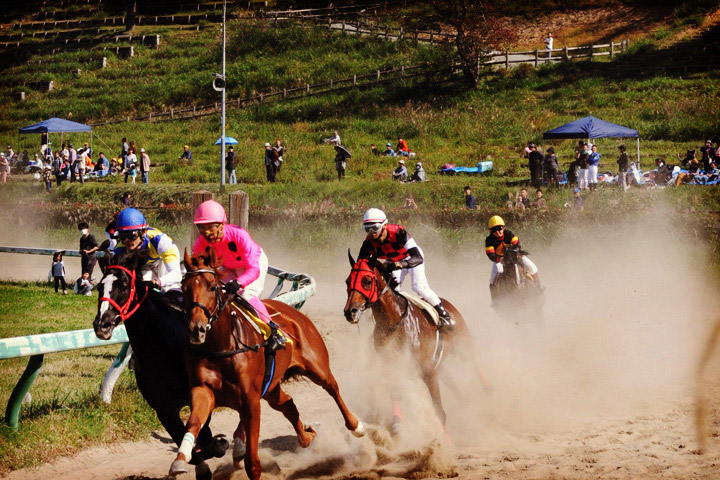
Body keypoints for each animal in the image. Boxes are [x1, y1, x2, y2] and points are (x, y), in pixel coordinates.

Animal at [93, 251, 226, 480]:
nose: (102, 324)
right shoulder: (164, 409)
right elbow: (190, 444)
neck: (163, 349)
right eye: (100, 286)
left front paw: (220, 445)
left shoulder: (202, 393)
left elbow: (205, 436)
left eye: (124, 285)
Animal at [170, 251, 366, 480]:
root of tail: (293, 312)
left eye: (211, 287)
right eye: (184, 288)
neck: (221, 346)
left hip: (317, 367)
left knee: (332, 388)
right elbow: (193, 423)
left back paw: (356, 426)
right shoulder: (204, 390)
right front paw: (180, 461)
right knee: (288, 404)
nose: (196, 329)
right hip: (271, 387)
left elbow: (252, 461)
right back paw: (307, 436)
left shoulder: (251, 400)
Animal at [344, 253, 490, 434]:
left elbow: (439, 411)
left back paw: (487, 386)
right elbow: (396, 391)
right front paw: (397, 422)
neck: (393, 321)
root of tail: (447, 303)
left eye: (367, 280)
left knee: (472, 358)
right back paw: (463, 402)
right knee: (450, 380)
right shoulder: (393, 365)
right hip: (438, 363)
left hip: (462, 342)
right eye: (347, 281)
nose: (350, 312)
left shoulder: (427, 370)